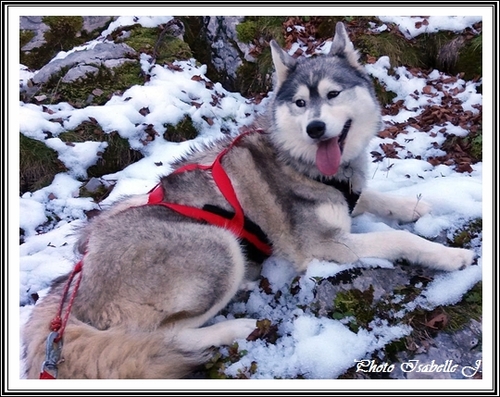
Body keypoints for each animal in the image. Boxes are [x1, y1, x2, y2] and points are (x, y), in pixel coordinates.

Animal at [22, 23, 476, 378]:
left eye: (332, 94)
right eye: (300, 102)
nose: (314, 128)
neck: (303, 163)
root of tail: (75, 287)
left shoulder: (349, 195)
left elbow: (375, 197)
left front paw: (417, 206)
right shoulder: (321, 247)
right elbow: (398, 240)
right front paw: (450, 256)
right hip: (218, 246)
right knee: (164, 335)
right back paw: (237, 329)